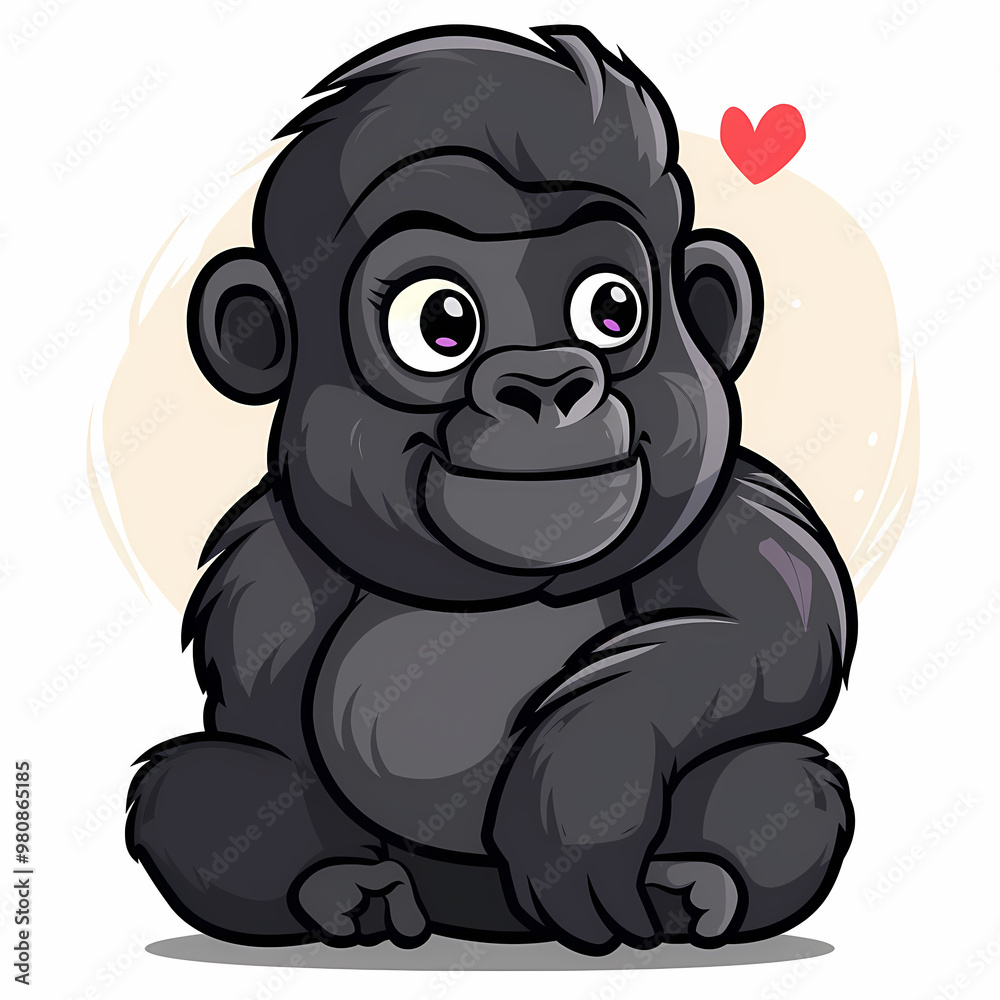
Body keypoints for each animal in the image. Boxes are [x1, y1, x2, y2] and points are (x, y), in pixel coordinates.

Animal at [126, 24, 856, 956]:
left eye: (612, 309)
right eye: (441, 322)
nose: (546, 382)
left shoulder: (740, 511)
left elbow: (766, 637)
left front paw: (581, 789)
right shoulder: (268, 565)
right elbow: (259, 742)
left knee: (785, 778)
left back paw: (697, 883)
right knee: (193, 782)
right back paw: (348, 892)